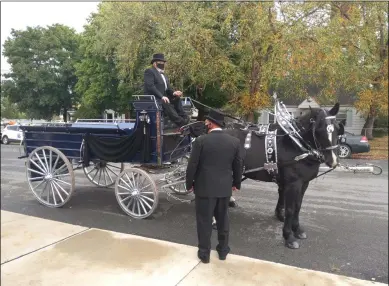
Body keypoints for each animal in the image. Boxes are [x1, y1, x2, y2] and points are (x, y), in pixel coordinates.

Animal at [221, 102, 342, 248]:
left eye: (337, 128)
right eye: (318, 130)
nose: (333, 161)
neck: (295, 143)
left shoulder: (304, 183)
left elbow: (297, 206)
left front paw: (297, 229)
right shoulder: (293, 183)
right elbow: (290, 208)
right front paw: (288, 236)